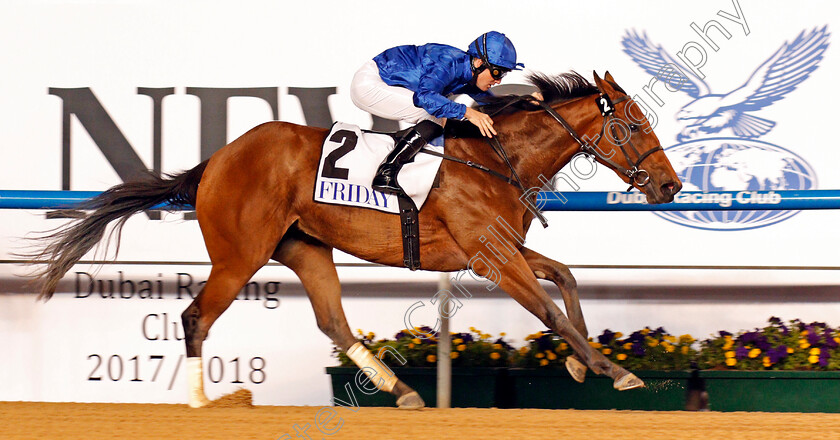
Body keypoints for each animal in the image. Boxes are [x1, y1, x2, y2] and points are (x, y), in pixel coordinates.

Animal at [27, 70, 684, 408]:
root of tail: (216, 160)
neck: (496, 159)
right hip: (240, 254)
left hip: (304, 248)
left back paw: (403, 392)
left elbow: (565, 278)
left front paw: (583, 364)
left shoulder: (503, 248)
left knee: (333, 322)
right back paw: (200, 406)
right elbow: (549, 308)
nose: (672, 185)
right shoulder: (490, 259)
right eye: (631, 126)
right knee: (196, 317)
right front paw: (611, 369)